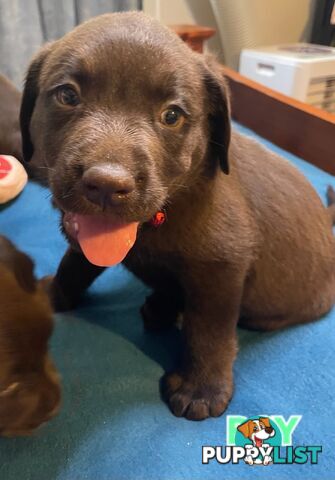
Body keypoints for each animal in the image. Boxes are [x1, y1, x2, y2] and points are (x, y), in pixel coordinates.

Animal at [19, 12, 335, 420]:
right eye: (68, 96)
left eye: (172, 116)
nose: (106, 185)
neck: (162, 216)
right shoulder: (88, 241)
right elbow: (73, 266)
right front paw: (54, 294)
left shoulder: (222, 269)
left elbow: (209, 330)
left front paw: (202, 387)